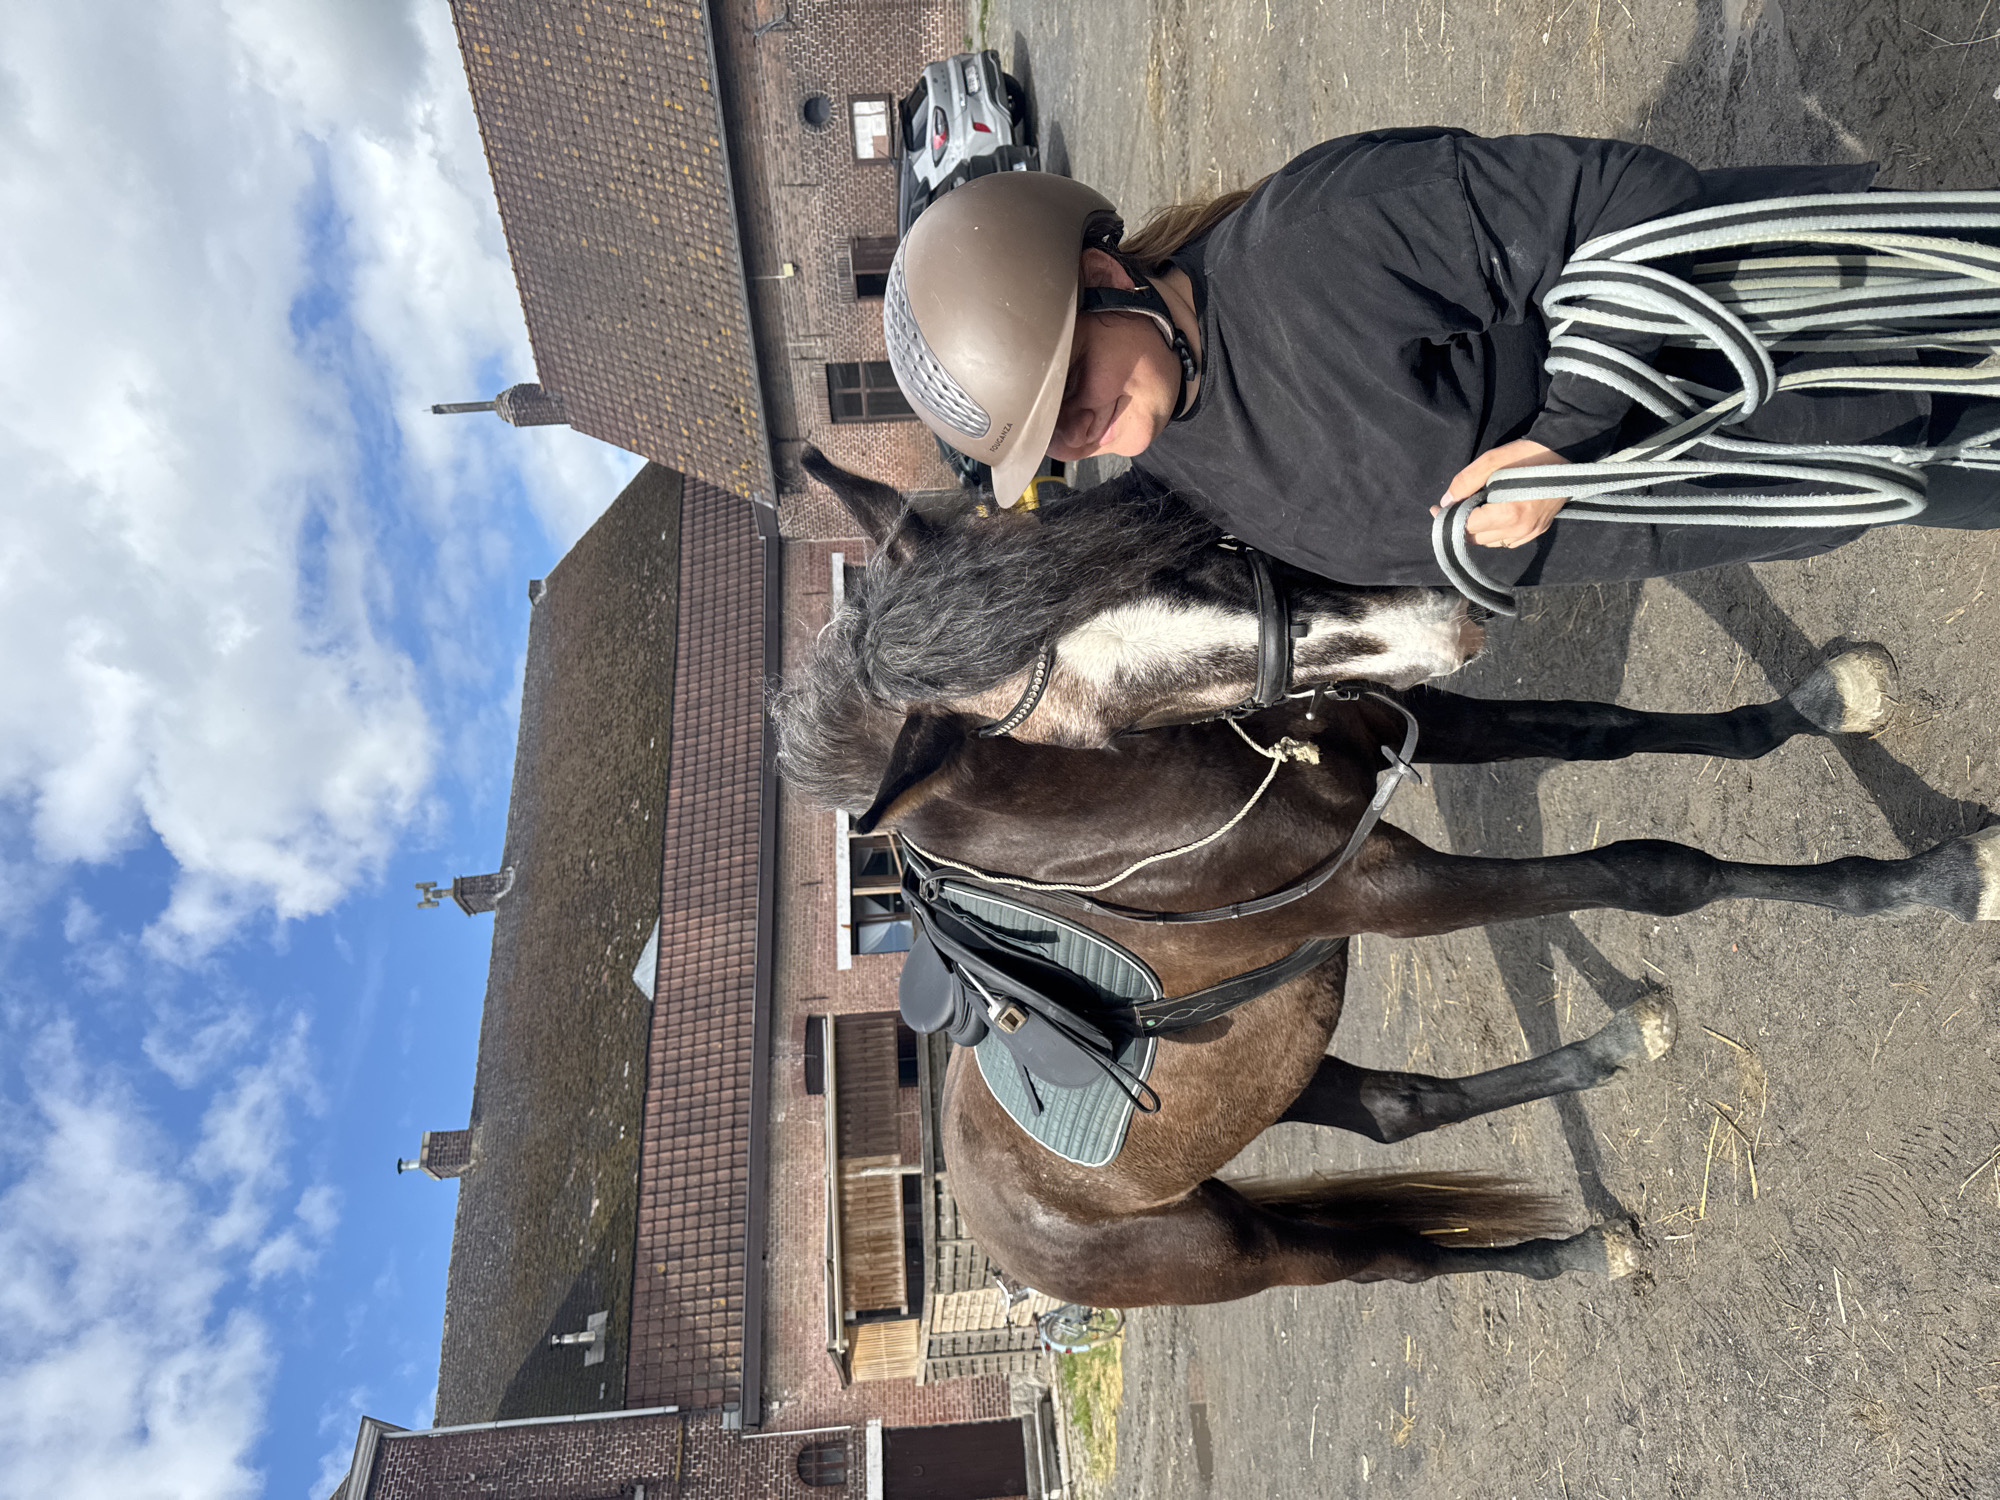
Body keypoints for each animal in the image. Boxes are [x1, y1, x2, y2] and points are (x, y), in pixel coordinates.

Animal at [774, 454, 2000, 1306]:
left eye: (1149, 558)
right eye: (1116, 699)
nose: (1441, 607)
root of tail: (986, 1223)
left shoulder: (1411, 724)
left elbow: (1596, 729)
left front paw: (1827, 700)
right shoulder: (1391, 893)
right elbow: (1651, 873)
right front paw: (1934, 881)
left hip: (1281, 1073)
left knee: (1398, 1111)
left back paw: (1616, 1050)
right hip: (1240, 1253)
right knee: (1395, 1258)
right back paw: (1571, 1255)